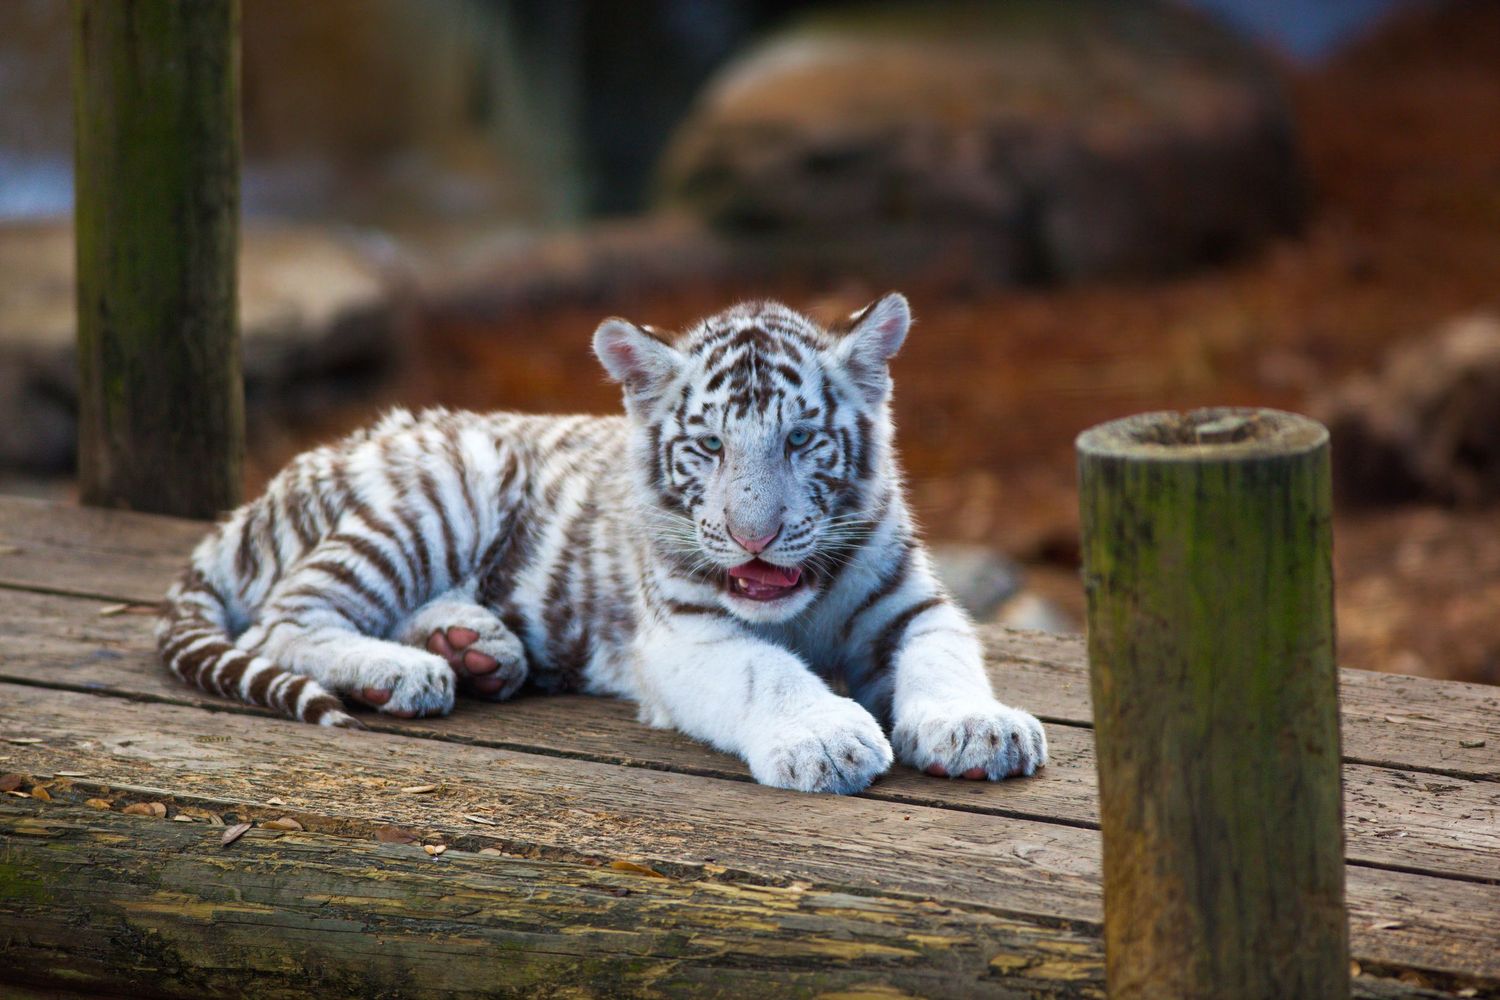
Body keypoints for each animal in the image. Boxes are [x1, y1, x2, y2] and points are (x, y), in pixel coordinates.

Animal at [157, 294, 1047, 793]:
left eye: (801, 440)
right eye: (710, 446)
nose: (755, 539)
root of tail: (259, 499)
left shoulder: (914, 606)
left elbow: (944, 656)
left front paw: (979, 727)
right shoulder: (683, 635)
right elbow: (766, 672)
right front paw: (826, 739)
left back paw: (474, 648)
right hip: (441, 492)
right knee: (285, 620)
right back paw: (406, 671)